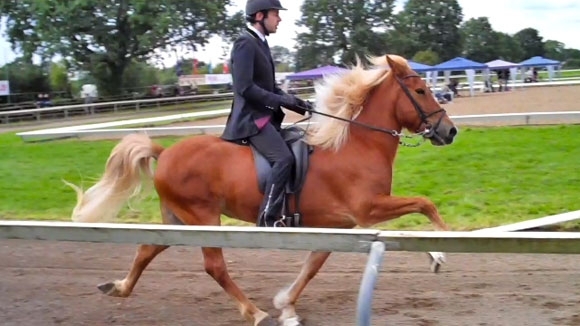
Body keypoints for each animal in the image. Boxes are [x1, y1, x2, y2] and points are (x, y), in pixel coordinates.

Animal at [67, 54, 458, 324]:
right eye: (421, 91)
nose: (450, 131)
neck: (354, 144)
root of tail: (165, 152)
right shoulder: (368, 208)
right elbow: (424, 203)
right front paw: (440, 253)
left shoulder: (337, 223)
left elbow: (314, 263)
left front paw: (287, 306)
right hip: (204, 217)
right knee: (214, 266)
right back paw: (253, 312)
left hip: (178, 218)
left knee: (148, 248)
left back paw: (118, 287)